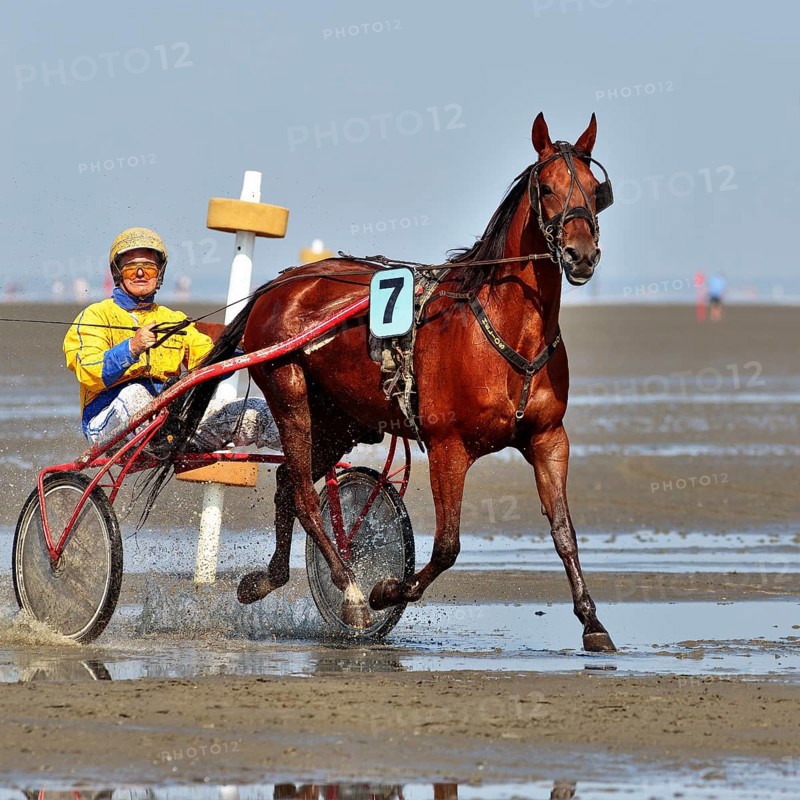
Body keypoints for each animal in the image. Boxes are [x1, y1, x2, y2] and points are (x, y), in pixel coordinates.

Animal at [157, 112, 617, 652]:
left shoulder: (548, 438)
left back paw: (267, 579)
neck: (507, 334)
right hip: (290, 393)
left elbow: (564, 532)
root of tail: (280, 283)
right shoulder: (447, 446)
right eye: (546, 187)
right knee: (306, 496)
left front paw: (592, 620)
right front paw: (385, 590)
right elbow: (447, 546)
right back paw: (351, 589)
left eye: (594, 188)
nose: (581, 254)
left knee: (288, 483)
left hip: (342, 419)